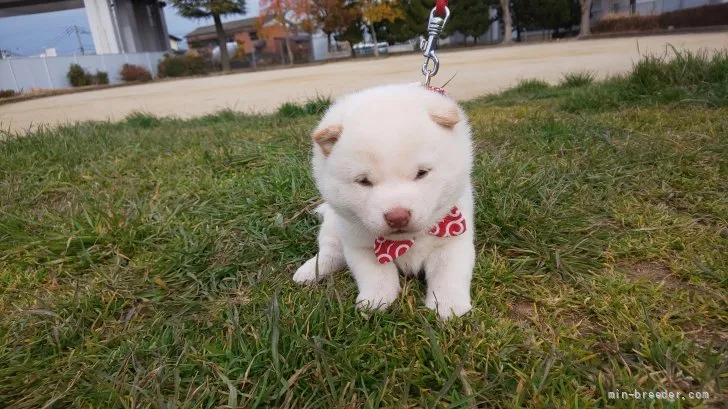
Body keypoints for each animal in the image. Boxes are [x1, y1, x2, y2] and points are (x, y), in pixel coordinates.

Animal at [292, 83, 474, 318]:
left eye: (422, 173)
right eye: (363, 181)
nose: (397, 217)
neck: (405, 241)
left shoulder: (452, 240)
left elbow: (448, 274)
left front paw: (448, 305)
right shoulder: (360, 245)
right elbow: (376, 275)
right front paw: (375, 300)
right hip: (333, 226)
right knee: (331, 251)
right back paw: (309, 271)